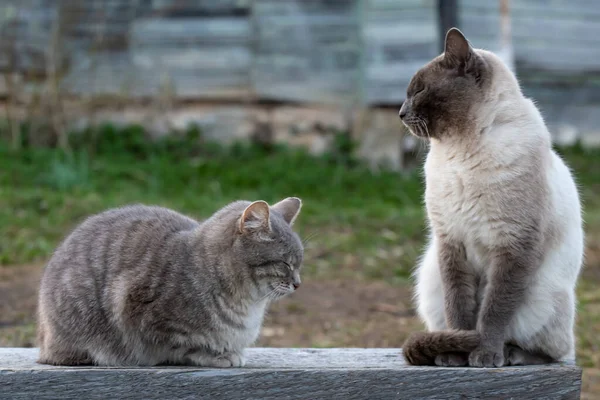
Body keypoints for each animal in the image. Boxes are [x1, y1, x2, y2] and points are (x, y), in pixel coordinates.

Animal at [36, 198, 304, 368]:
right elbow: (185, 347)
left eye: (299, 263)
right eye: (286, 263)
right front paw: (217, 356)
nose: (298, 284)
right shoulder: (141, 313)